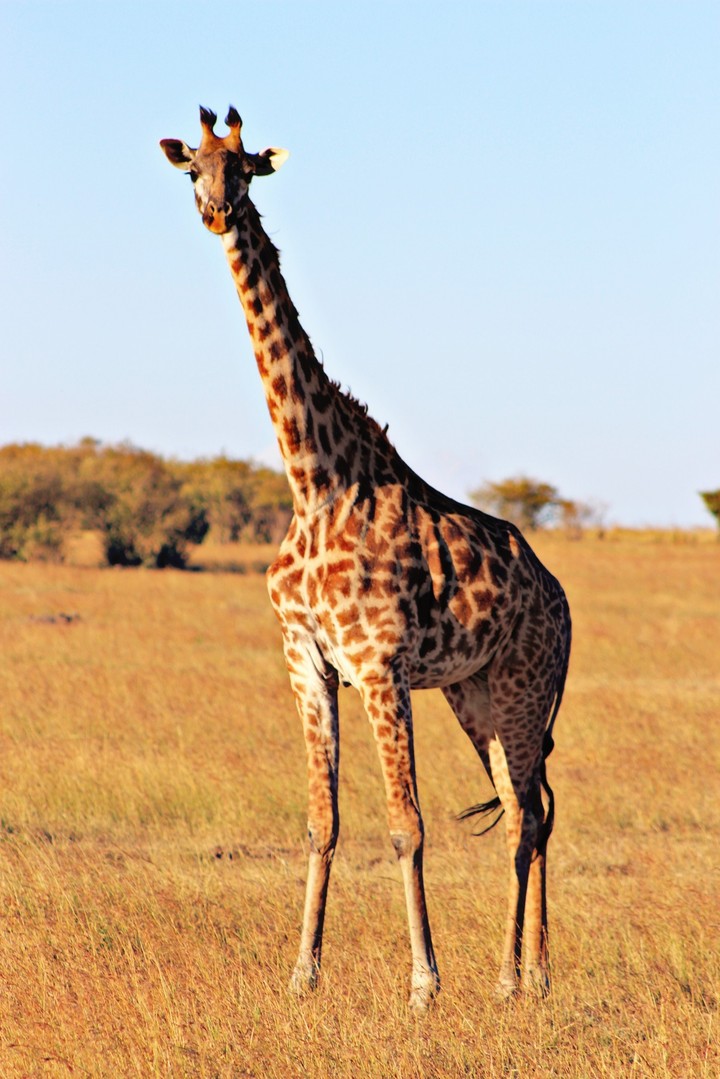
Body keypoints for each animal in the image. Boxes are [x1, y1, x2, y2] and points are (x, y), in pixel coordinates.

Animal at [160, 107, 571, 1013]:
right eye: (192, 168)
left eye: (246, 166)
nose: (216, 212)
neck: (316, 480)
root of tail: (562, 602)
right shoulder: (307, 661)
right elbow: (325, 820)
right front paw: (300, 974)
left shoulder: (381, 665)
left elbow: (406, 826)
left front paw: (423, 984)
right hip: (474, 694)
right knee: (531, 808)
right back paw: (527, 974)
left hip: (525, 686)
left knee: (529, 818)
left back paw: (515, 978)